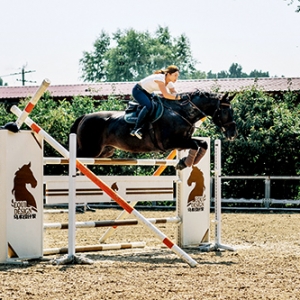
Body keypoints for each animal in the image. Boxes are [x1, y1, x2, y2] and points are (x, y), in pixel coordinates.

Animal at [70, 89, 237, 170]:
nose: (233, 134)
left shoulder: (183, 140)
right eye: (226, 111)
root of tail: (85, 116)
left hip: (105, 152)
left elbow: (203, 144)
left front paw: (187, 162)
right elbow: (196, 145)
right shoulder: (171, 142)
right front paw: (184, 163)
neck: (182, 113)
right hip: (89, 151)